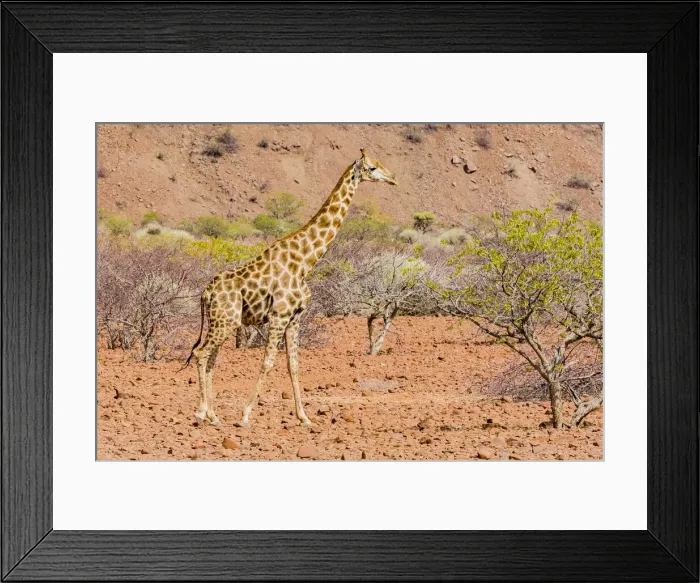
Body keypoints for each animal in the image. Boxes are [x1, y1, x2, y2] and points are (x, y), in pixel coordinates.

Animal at [186, 149, 397, 427]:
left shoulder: (295, 318)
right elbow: (268, 362)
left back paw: (213, 415)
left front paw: (304, 417)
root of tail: (206, 293)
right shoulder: (279, 315)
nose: (393, 178)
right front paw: (245, 415)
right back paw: (201, 412)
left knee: (211, 358)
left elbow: (293, 364)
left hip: (222, 320)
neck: (305, 262)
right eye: (372, 167)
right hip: (225, 320)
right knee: (201, 353)